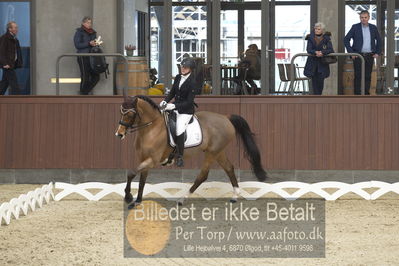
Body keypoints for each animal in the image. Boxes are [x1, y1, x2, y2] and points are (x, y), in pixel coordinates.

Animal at [114, 94, 268, 209]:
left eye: (130, 114)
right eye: (121, 112)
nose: (119, 134)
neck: (151, 128)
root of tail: (226, 117)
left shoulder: (152, 160)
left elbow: (131, 173)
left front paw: (128, 197)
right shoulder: (144, 159)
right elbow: (141, 180)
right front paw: (137, 201)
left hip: (212, 153)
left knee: (203, 175)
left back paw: (182, 199)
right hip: (218, 152)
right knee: (229, 168)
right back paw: (235, 196)